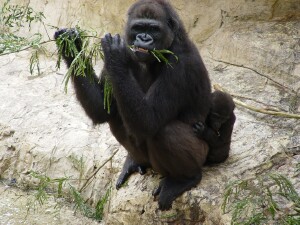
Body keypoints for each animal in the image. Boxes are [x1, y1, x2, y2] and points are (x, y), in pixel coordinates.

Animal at [55, 0, 212, 211]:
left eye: (153, 29)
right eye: (138, 27)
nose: (143, 38)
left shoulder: (181, 64)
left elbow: (149, 120)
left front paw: (114, 53)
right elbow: (102, 110)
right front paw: (70, 44)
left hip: (202, 154)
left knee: (165, 131)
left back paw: (185, 178)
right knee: (117, 116)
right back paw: (135, 161)